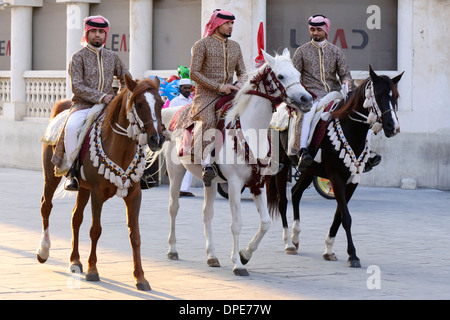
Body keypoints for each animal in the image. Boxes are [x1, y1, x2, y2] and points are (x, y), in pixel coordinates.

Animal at [36, 74, 163, 290]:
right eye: (139, 104)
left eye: (161, 103)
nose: (157, 139)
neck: (121, 148)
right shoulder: (97, 193)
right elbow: (95, 230)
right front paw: (93, 270)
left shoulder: (134, 195)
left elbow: (135, 235)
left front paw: (140, 277)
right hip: (51, 176)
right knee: (46, 206)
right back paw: (44, 251)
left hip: (83, 188)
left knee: (76, 217)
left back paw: (75, 261)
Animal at [153, 48, 312, 276]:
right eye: (280, 76)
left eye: (298, 75)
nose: (306, 99)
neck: (251, 129)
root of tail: (175, 114)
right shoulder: (235, 184)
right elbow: (236, 224)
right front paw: (237, 263)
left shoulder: (258, 182)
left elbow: (265, 223)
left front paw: (245, 254)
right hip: (176, 172)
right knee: (173, 207)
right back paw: (173, 249)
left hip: (209, 180)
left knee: (207, 214)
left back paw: (212, 256)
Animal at [268, 67, 404, 268]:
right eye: (378, 94)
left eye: (395, 96)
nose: (392, 127)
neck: (352, 129)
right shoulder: (336, 178)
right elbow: (346, 217)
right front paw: (353, 255)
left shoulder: (352, 180)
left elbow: (339, 215)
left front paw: (329, 249)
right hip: (281, 166)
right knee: (283, 201)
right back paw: (288, 243)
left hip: (309, 170)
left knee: (295, 193)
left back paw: (296, 237)